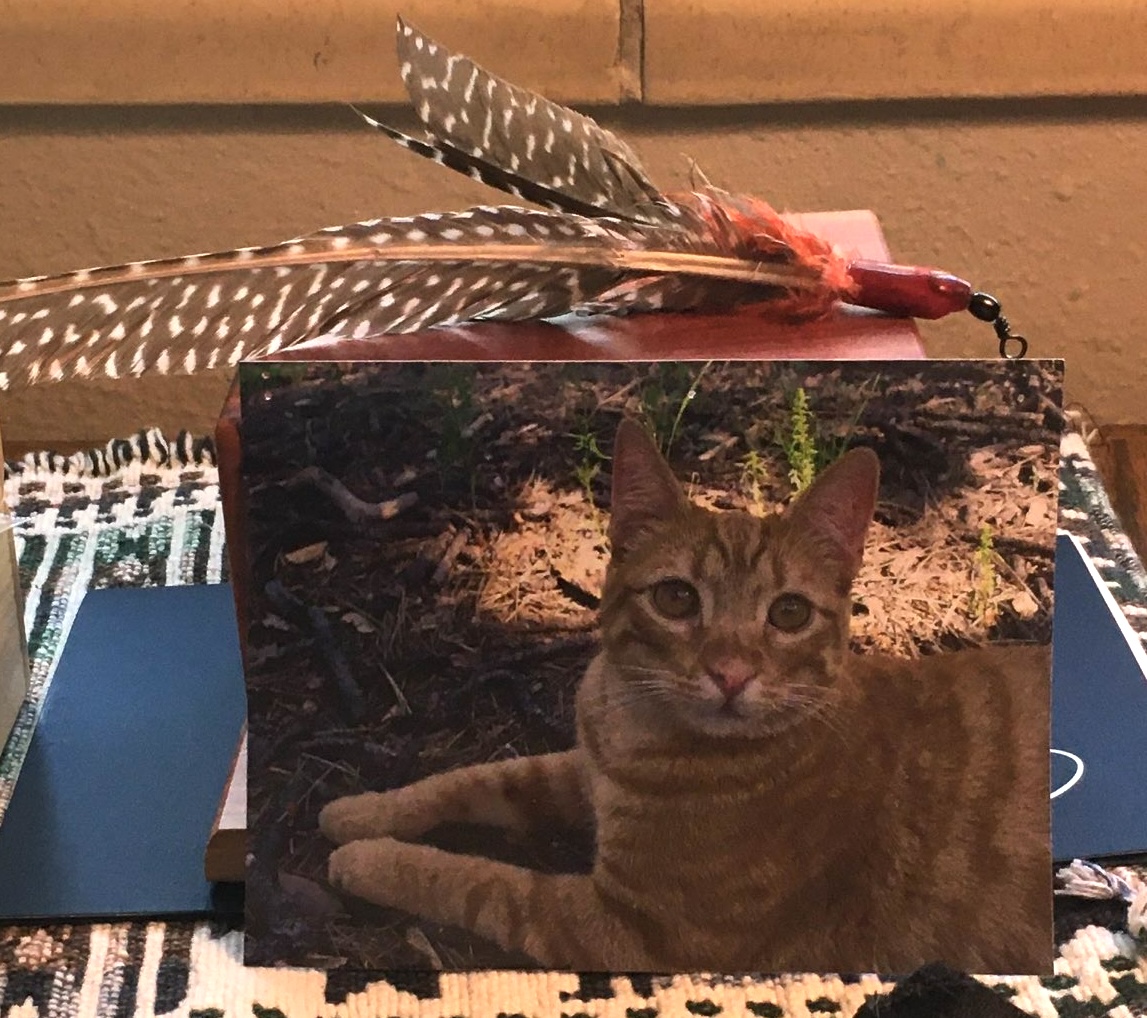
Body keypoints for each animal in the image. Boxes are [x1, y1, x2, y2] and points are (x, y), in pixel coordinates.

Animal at [318, 417, 1050, 972]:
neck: (635, 729)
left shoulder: (625, 929)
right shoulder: (579, 772)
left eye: (788, 613)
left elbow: (477, 882)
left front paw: (368, 859)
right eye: (676, 598)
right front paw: (361, 812)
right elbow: (472, 778)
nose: (730, 673)